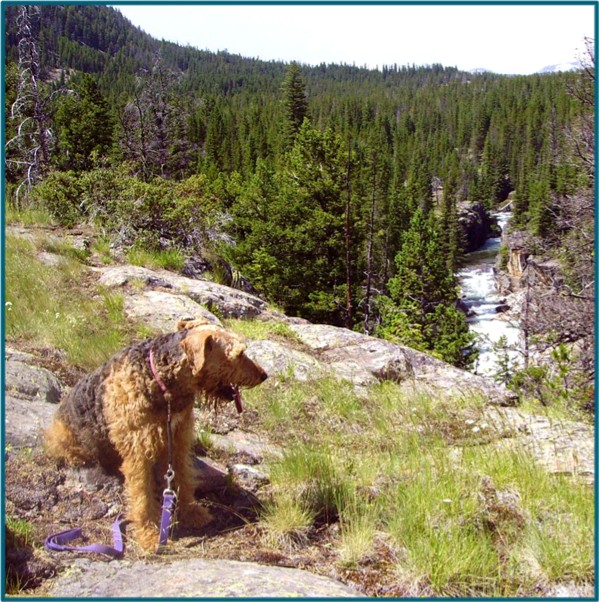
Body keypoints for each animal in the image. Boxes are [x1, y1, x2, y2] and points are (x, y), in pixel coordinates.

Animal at [43, 318, 266, 548]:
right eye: (239, 354)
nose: (263, 375)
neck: (165, 386)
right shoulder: (139, 450)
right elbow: (142, 496)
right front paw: (148, 535)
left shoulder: (178, 440)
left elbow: (183, 480)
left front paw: (191, 513)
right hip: (66, 437)